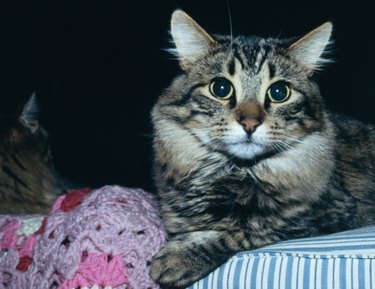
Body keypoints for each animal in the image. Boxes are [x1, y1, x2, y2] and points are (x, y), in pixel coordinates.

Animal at [150, 9, 375, 288]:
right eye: (220, 88)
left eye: (279, 92)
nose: (250, 123)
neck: (234, 172)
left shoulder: (320, 219)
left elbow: (244, 229)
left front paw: (176, 259)